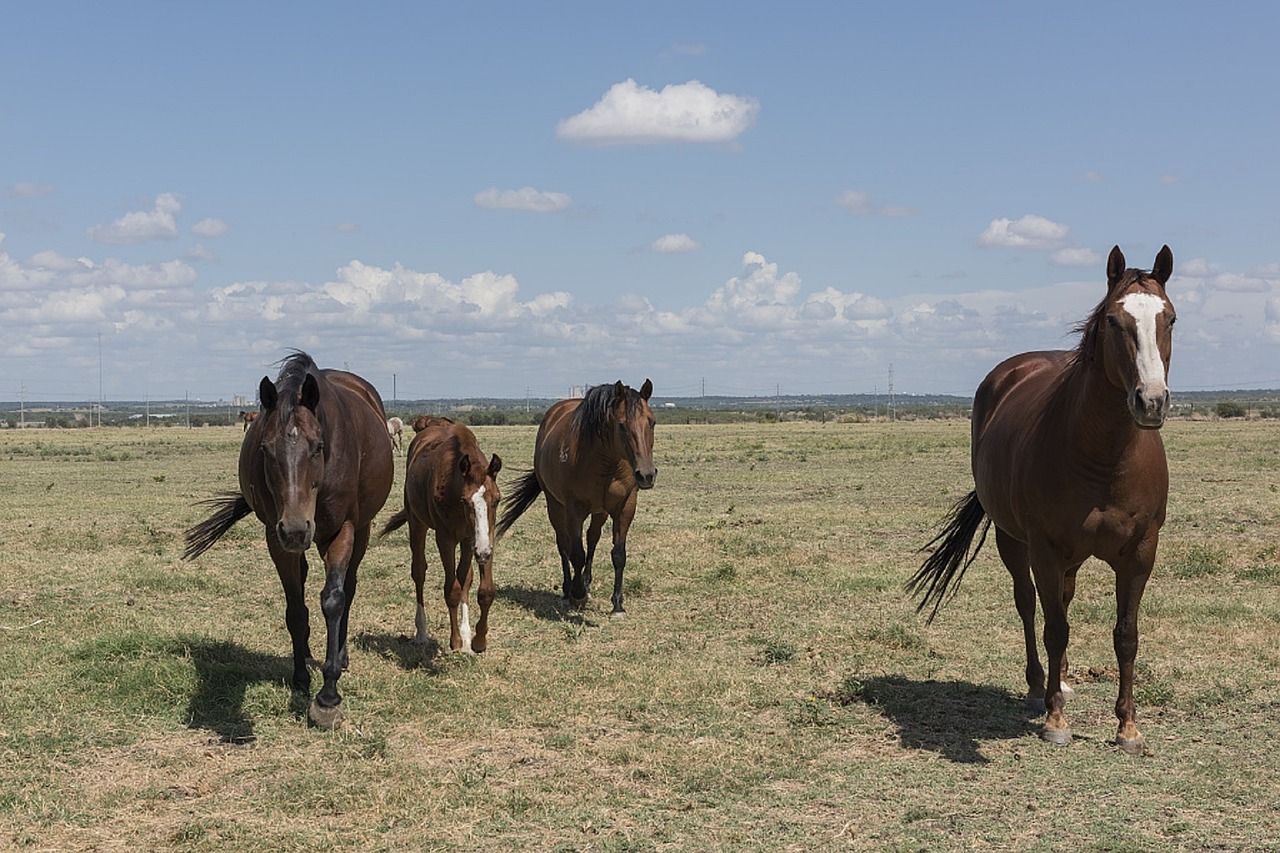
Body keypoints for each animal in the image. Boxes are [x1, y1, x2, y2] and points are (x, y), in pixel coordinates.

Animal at [184, 348, 394, 727]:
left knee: (350, 586)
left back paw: (341, 656)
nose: (296, 529)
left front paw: (328, 697)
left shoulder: (342, 530)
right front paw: (300, 677)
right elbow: (296, 609)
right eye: (266, 449)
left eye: (318, 446)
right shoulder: (275, 536)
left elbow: (334, 600)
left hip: (360, 530)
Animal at [376, 414, 501, 648]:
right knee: (419, 572)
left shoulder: (478, 538)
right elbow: (451, 590)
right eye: (465, 501)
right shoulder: (445, 538)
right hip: (417, 523)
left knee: (465, 577)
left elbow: (482, 589)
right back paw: (421, 632)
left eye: (497, 500)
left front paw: (477, 640)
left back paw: (466, 632)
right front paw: (456, 641)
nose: (482, 553)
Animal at [496, 379, 660, 612]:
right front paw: (578, 594)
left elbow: (618, 554)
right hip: (555, 505)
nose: (646, 475)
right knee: (563, 543)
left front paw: (617, 604)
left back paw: (587, 582)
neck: (607, 463)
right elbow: (576, 554)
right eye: (621, 425)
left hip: (600, 511)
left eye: (652, 422)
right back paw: (568, 590)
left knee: (592, 539)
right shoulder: (575, 509)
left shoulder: (625, 506)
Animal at [911, 244, 1172, 753]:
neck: (1104, 455)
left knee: (1064, 601)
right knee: (1030, 605)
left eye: (1169, 318)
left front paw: (1128, 727)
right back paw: (1040, 687)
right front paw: (1055, 719)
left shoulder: (1141, 551)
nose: (1150, 401)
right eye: (1114, 320)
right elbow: (1054, 628)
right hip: (1014, 542)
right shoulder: (1044, 549)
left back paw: (1064, 680)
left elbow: (1126, 635)